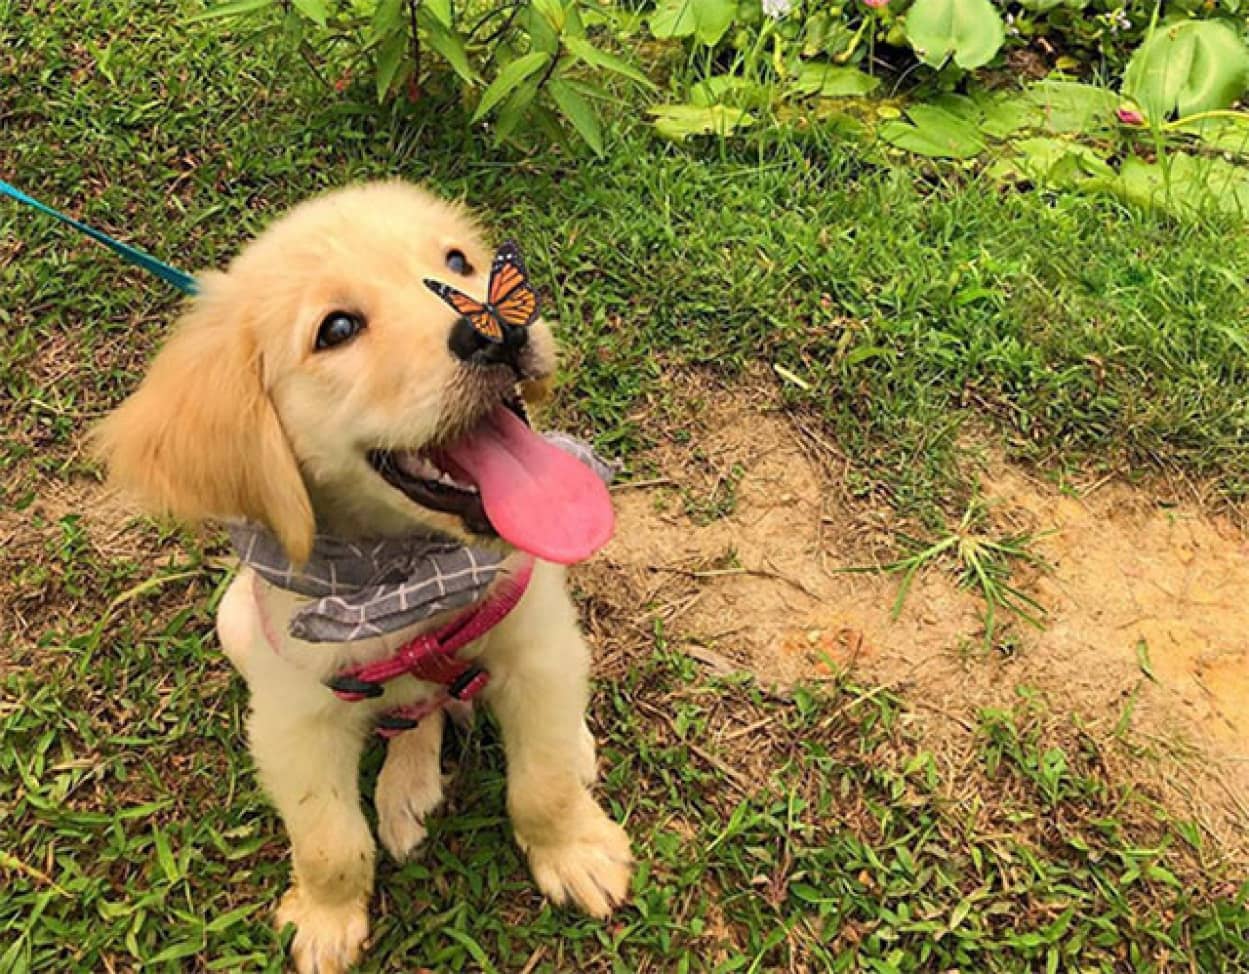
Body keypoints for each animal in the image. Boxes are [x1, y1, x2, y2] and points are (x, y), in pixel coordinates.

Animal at [94, 184, 634, 973]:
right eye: (338, 328)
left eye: (458, 262)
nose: (498, 331)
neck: (407, 580)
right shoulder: (292, 720)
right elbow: (328, 841)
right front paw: (325, 919)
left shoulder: (537, 646)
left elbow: (543, 783)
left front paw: (575, 851)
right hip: (233, 623)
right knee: (414, 714)